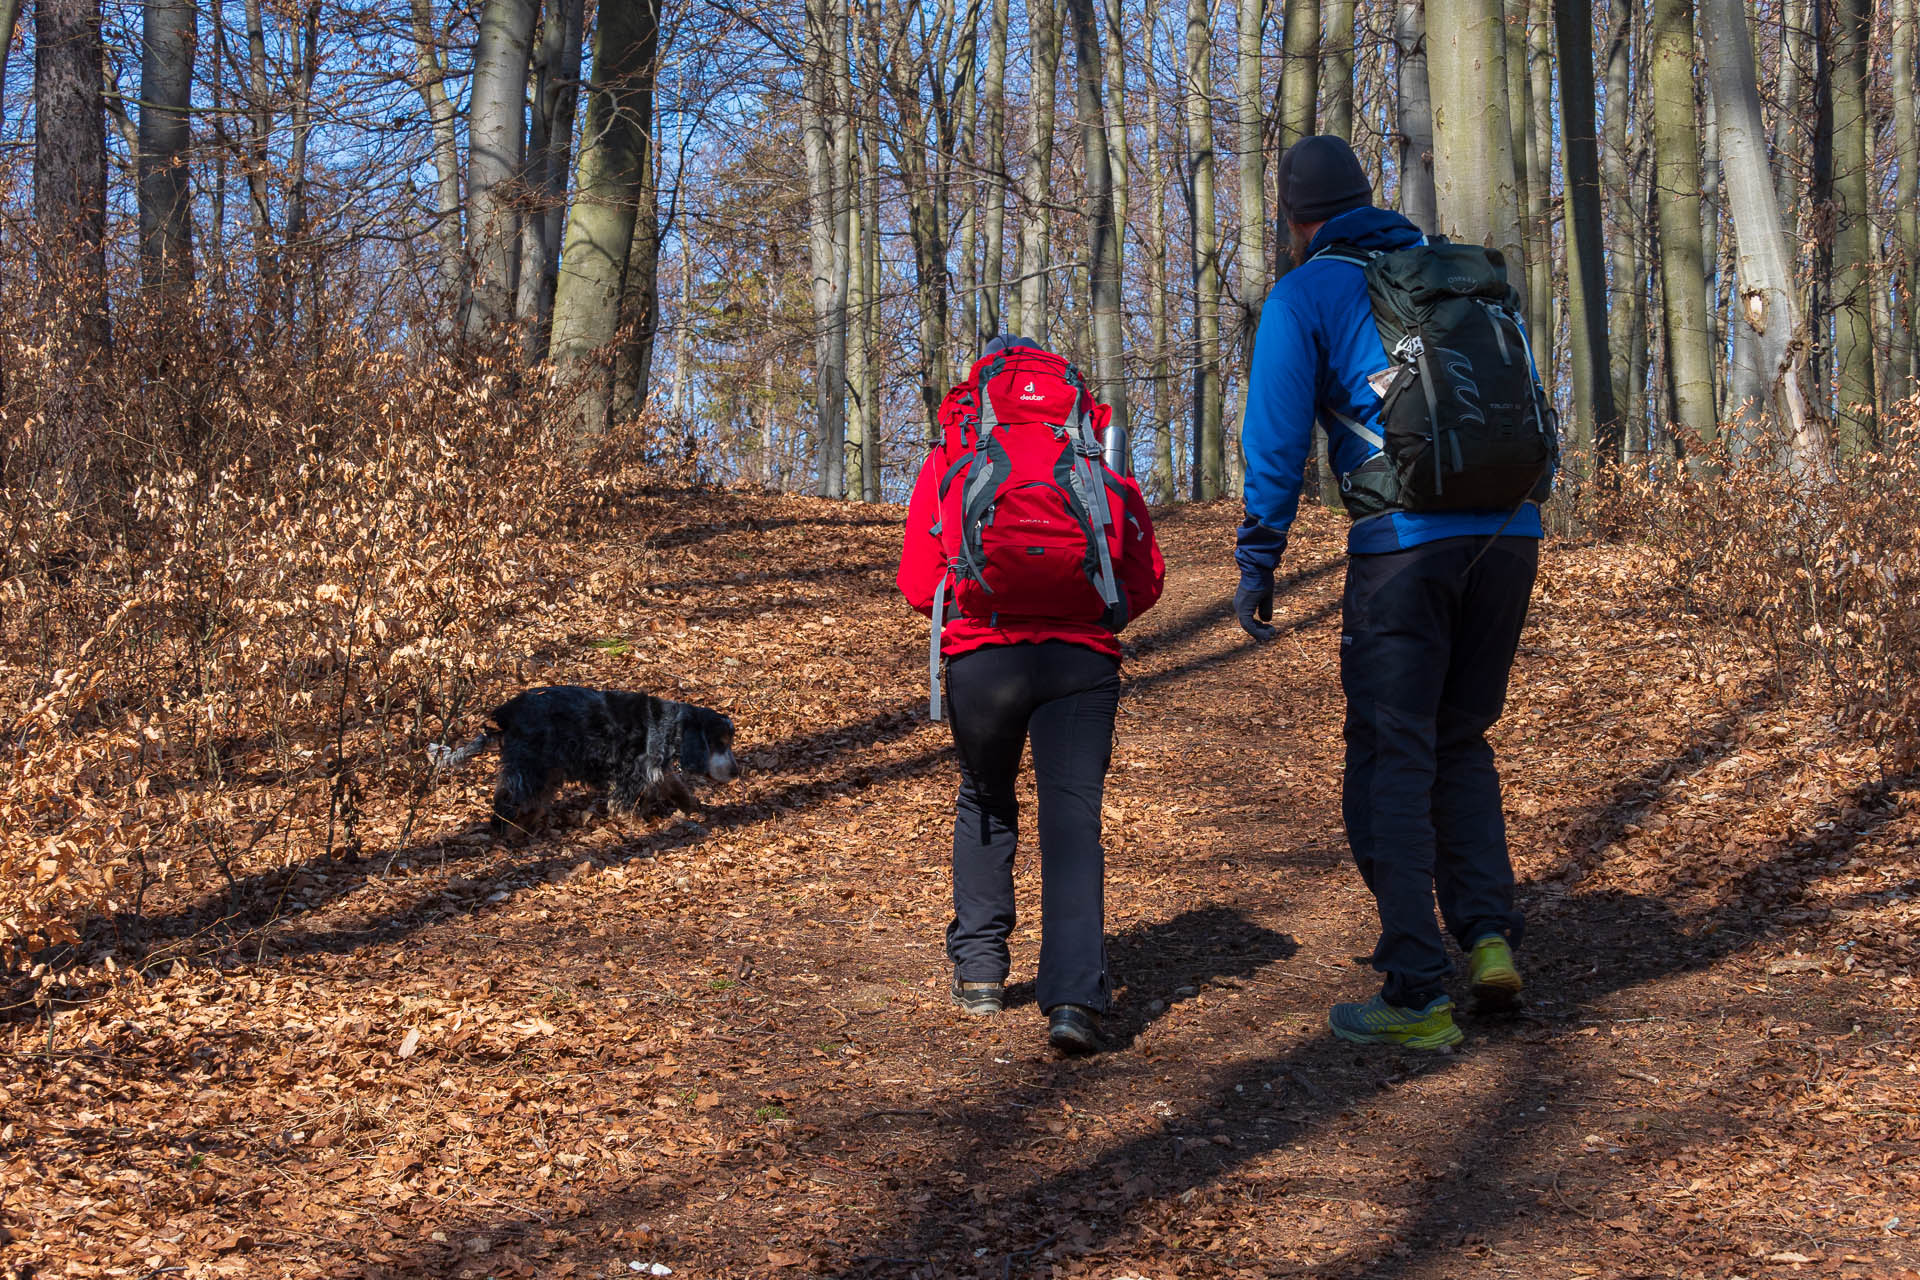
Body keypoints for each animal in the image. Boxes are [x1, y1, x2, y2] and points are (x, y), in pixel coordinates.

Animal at [428, 687, 733, 836]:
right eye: (720, 743)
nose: (736, 771)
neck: (669, 726)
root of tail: (505, 713)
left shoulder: (656, 769)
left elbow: (676, 786)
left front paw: (693, 806)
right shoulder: (631, 772)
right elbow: (624, 804)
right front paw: (638, 825)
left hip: (547, 768)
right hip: (531, 766)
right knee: (508, 798)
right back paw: (508, 832)